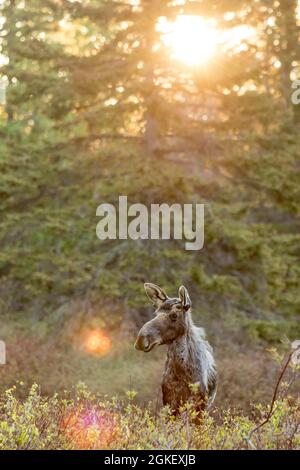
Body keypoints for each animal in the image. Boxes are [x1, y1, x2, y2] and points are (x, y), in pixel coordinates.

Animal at [135, 284, 217, 414]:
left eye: (174, 315)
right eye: (156, 312)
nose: (141, 340)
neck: (182, 372)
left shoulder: (200, 403)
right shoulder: (169, 400)